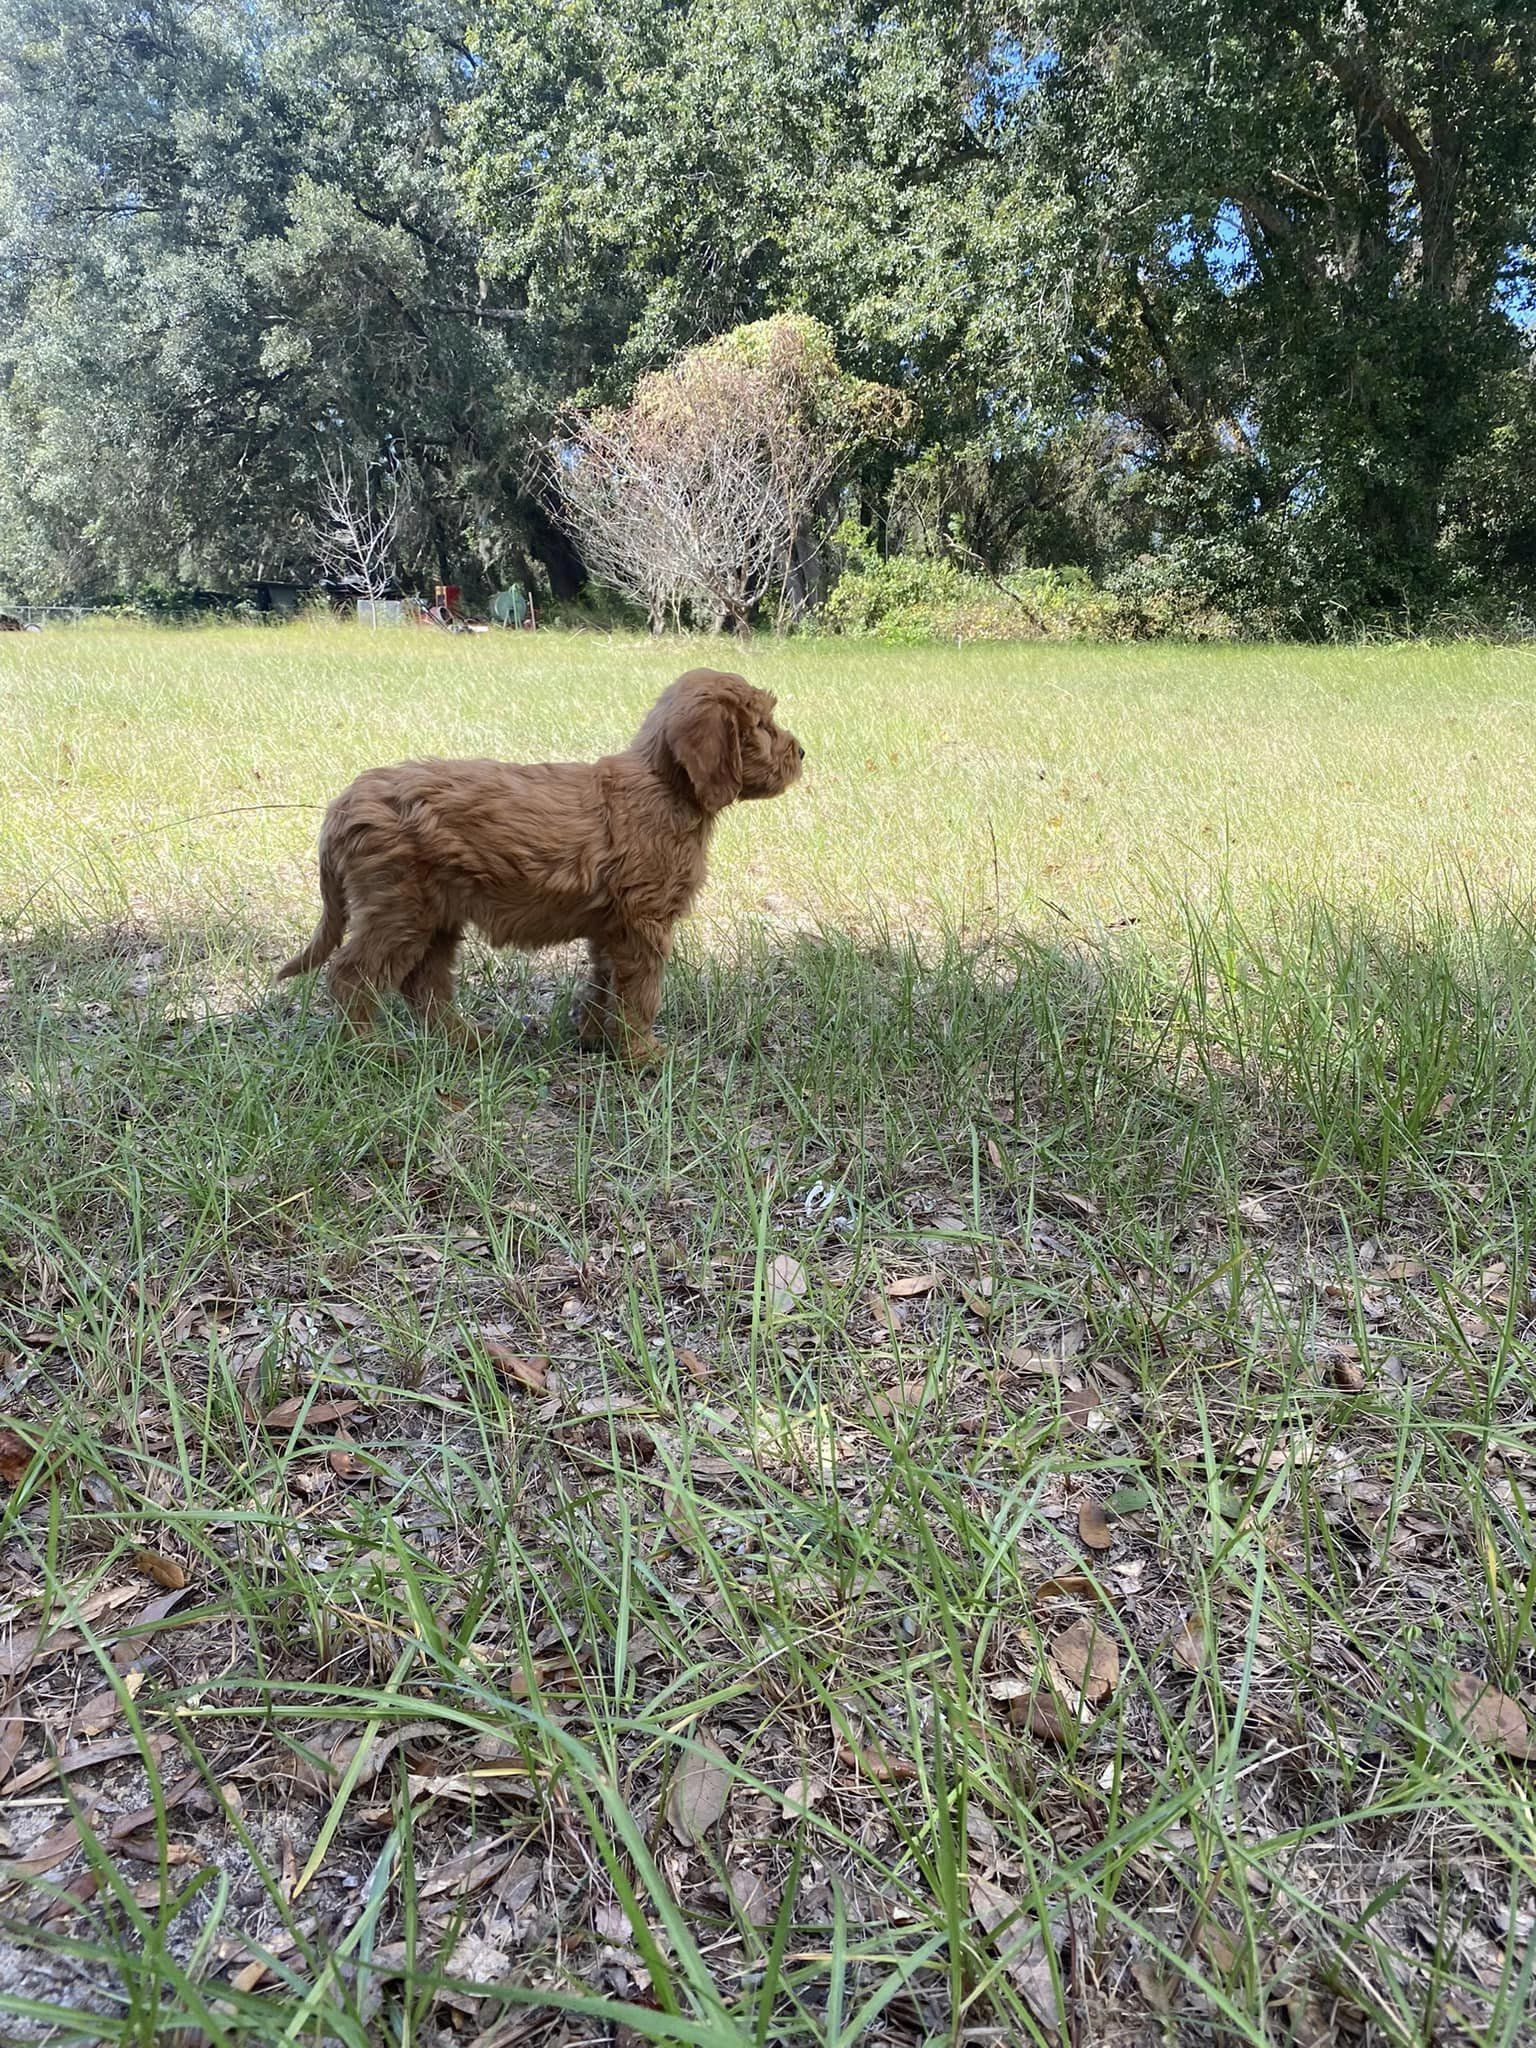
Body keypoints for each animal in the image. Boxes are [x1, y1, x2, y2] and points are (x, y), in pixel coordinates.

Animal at [278, 667, 806, 1064]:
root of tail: (343, 804)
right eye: (763, 725)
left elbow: (603, 982)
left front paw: (596, 1037)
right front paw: (644, 1054)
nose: (802, 752)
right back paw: (370, 1050)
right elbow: (641, 992)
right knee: (351, 976)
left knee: (424, 984)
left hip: (435, 917)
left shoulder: (612, 925)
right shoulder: (644, 921)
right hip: (397, 910)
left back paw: (466, 1039)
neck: (663, 787)